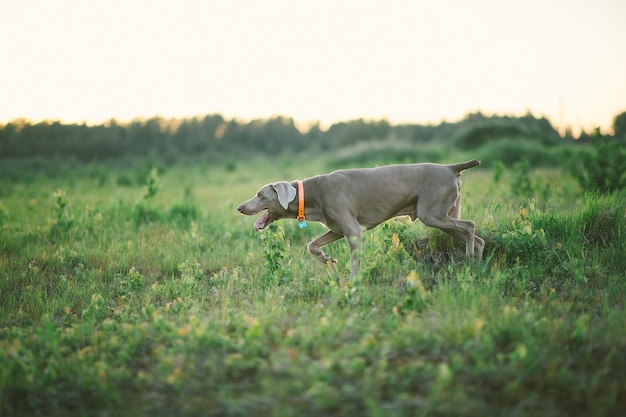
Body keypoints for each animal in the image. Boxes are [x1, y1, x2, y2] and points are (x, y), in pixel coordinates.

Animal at [236, 160, 486, 276]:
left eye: (260, 194)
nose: (239, 207)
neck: (312, 194)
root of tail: (450, 167)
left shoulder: (353, 231)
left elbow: (355, 262)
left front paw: (353, 283)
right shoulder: (337, 228)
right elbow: (311, 245)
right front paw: (327, 259)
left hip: (432, 213)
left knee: (470, 226)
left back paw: (469, 261)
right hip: (444, 213)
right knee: (476, 236)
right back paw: (477, 262)